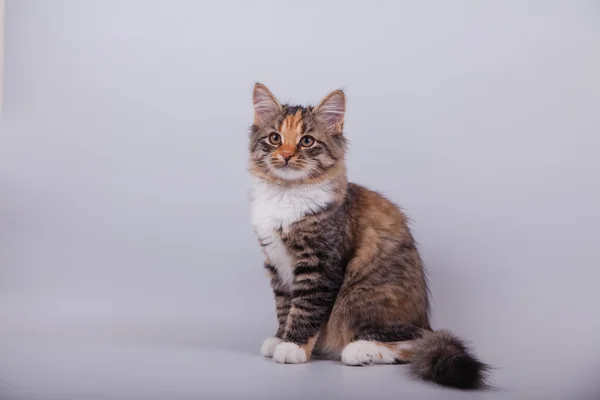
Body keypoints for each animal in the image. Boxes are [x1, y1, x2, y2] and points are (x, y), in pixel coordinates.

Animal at [248, 83, 488, 390]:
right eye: (275, 138)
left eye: (307, 141)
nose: (287, 155)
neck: (286, 194)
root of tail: (427, 322)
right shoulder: (276, 265)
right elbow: (284, 306)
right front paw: (280, 338)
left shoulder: (319, 264)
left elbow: (305, 308)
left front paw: (293, 347)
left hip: (359, 298)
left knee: (415, 341)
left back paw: (361, 350)